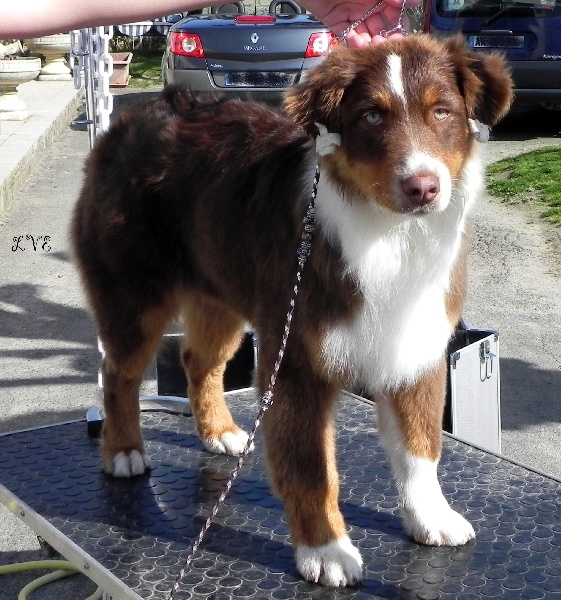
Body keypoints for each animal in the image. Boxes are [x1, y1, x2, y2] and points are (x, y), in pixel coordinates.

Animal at [71, 34, 512, 584]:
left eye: (442, 111)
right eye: (371, 116)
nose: (423, 187)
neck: (391, 235)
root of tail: (132, 118)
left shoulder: (416, 344)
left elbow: (421, 447)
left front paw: (430, 517)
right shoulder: (296, 362)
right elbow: (311, 469)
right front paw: (325, 549)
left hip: (223, 292)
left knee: (199, 361)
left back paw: (219, 431)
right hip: (134, 295)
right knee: (119, 373)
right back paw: (124, 449)